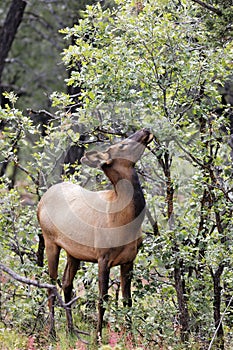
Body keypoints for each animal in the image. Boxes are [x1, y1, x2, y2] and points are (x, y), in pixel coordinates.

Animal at [37, 128, 154, 340]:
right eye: (122, 145)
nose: (145, 130)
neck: (126, 220)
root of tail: (41, 201)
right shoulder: (103, 257)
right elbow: (102, 299)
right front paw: (98, 337)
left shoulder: (129, 259)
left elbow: (127, 300)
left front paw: (131, 338)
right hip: (50, 241)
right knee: (51, 285)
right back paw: (52, 332)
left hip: (73, 252)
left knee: (66, 284)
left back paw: (71, 330)